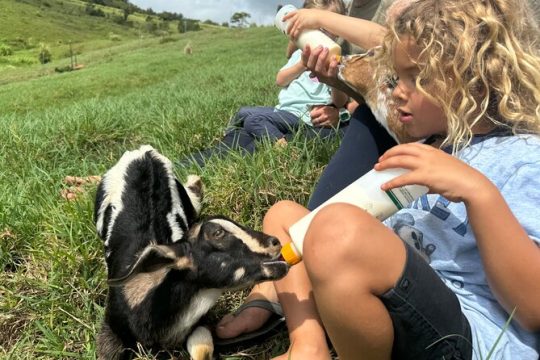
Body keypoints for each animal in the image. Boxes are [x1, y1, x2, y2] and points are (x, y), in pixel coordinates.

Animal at [94, 146, 286, 360]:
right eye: (218, 234)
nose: (275, 243)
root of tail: (144, 152)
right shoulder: (110, 333)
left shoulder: (200, 325)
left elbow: (202, 350)